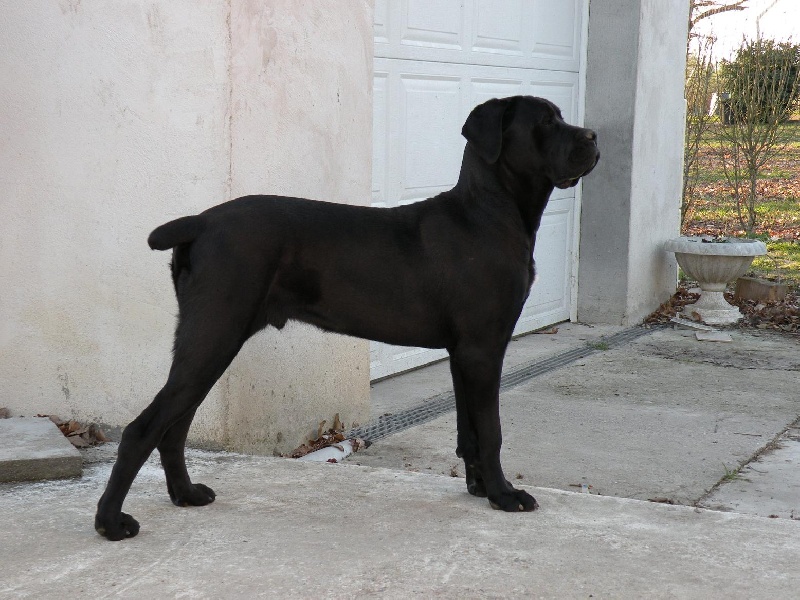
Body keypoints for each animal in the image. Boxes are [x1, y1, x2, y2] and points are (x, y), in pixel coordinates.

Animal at [94, 97, 596, 540]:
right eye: (545, 122)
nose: (593, 137)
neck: (488, 211)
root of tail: (198, 221)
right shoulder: (483, 349)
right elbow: (490, 431)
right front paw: (504, 495)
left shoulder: (463, 354)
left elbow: (469, 431)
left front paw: (478, 488)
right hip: (214, 336)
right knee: (143, 429)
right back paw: (110, 522)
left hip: (209, 341)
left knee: (174, 427)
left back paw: (185, 494)